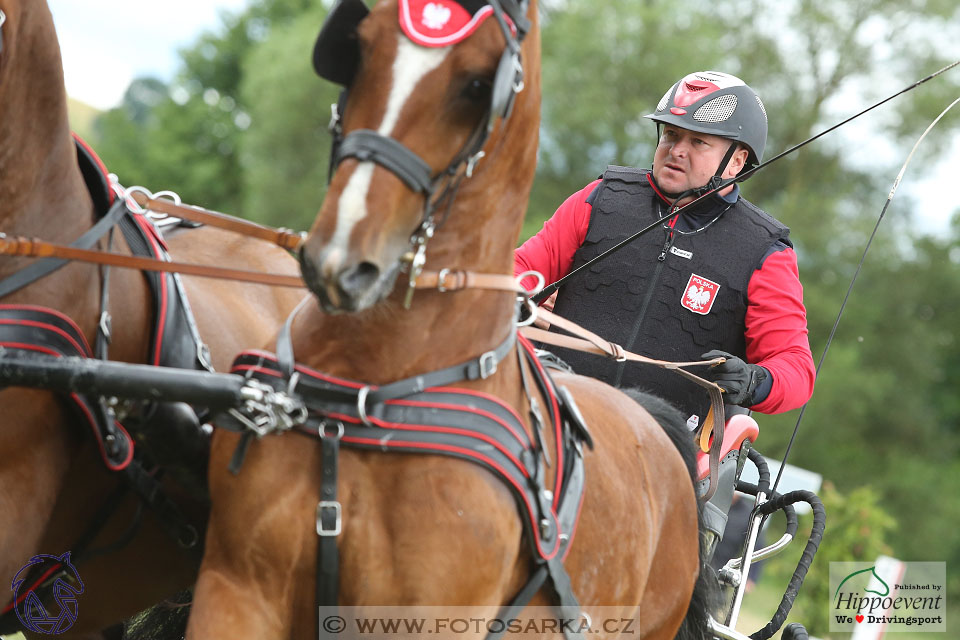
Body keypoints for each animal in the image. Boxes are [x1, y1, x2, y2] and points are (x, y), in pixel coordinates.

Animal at [189, 0, 704, 636]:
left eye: (479, 84)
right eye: (359, 48)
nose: (340, 258)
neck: (374, 389)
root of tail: (650, 419)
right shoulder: (237, 588)